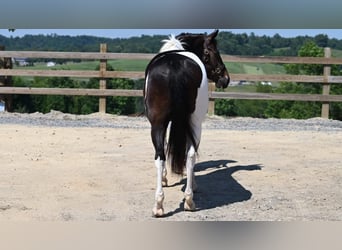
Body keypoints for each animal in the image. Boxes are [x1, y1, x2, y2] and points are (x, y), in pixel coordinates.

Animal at [143, 29, 228, 217]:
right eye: (213, 51)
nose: (225, 79)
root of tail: (175, 65)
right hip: (192, 123)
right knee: (185, 154)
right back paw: (180, 201)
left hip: (164, 124)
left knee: (167, 155)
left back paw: (167, 203)